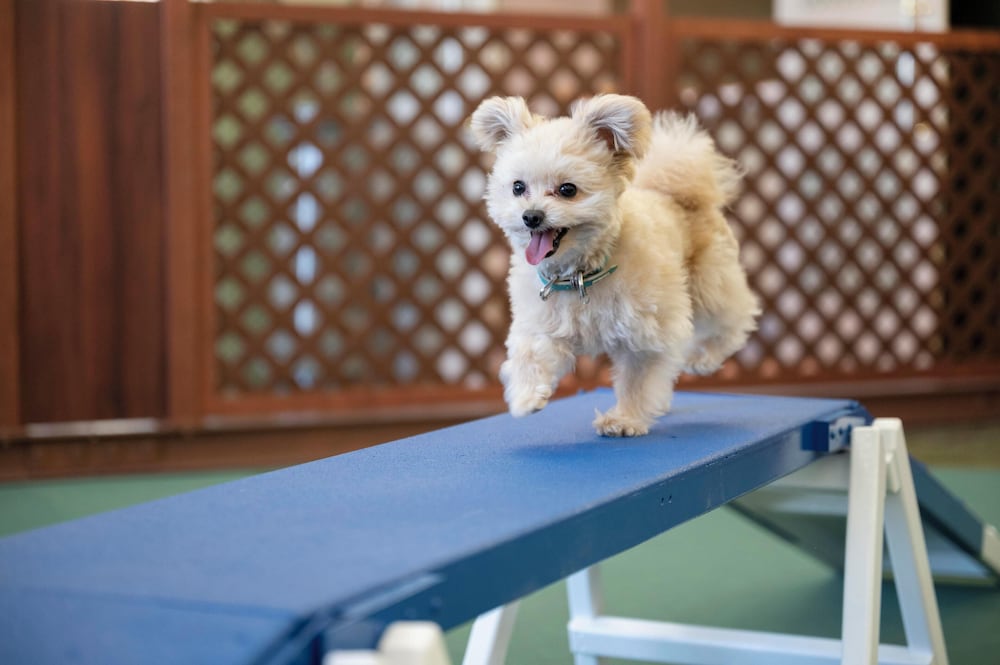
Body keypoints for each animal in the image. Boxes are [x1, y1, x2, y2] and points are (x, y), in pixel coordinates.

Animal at [469, 94, 760, 436]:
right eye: (518, 187)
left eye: (567, 189)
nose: (532, 216)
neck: (579, 274)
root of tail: (678, 195)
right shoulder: (542, 321)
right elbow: (529, 355)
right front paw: (527, 396)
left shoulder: (644, 333)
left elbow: (636, 380)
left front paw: (624, 420)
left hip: (709, 283)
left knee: (734, 319)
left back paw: (705, 359)